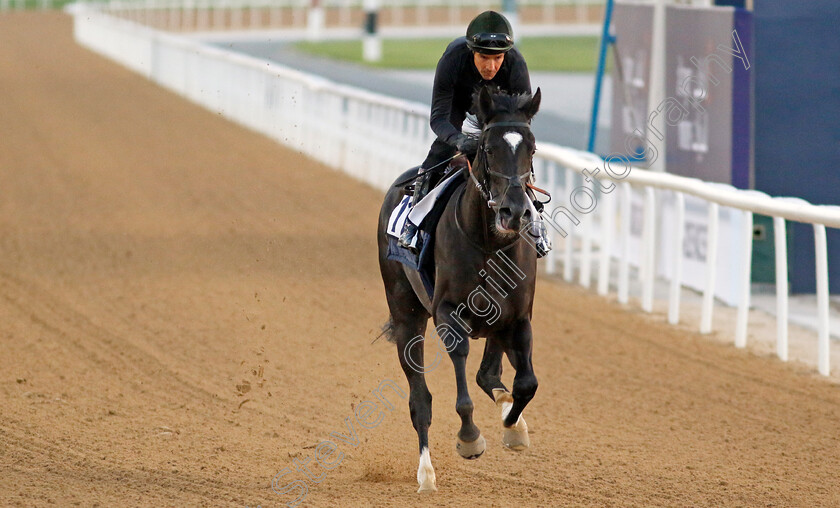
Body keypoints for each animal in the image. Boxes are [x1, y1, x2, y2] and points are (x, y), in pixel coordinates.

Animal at [376, 87, 544, 492]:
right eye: (487, 148)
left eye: (531, 148)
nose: (514, 211)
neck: (488, 243)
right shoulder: (447, 312)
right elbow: (461, 378)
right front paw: (470, 438)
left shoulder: (519, 316)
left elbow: (526, 383)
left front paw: (512, 427)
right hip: (406, 314)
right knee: (420, 401)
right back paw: (426, 475)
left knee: (490, 375)